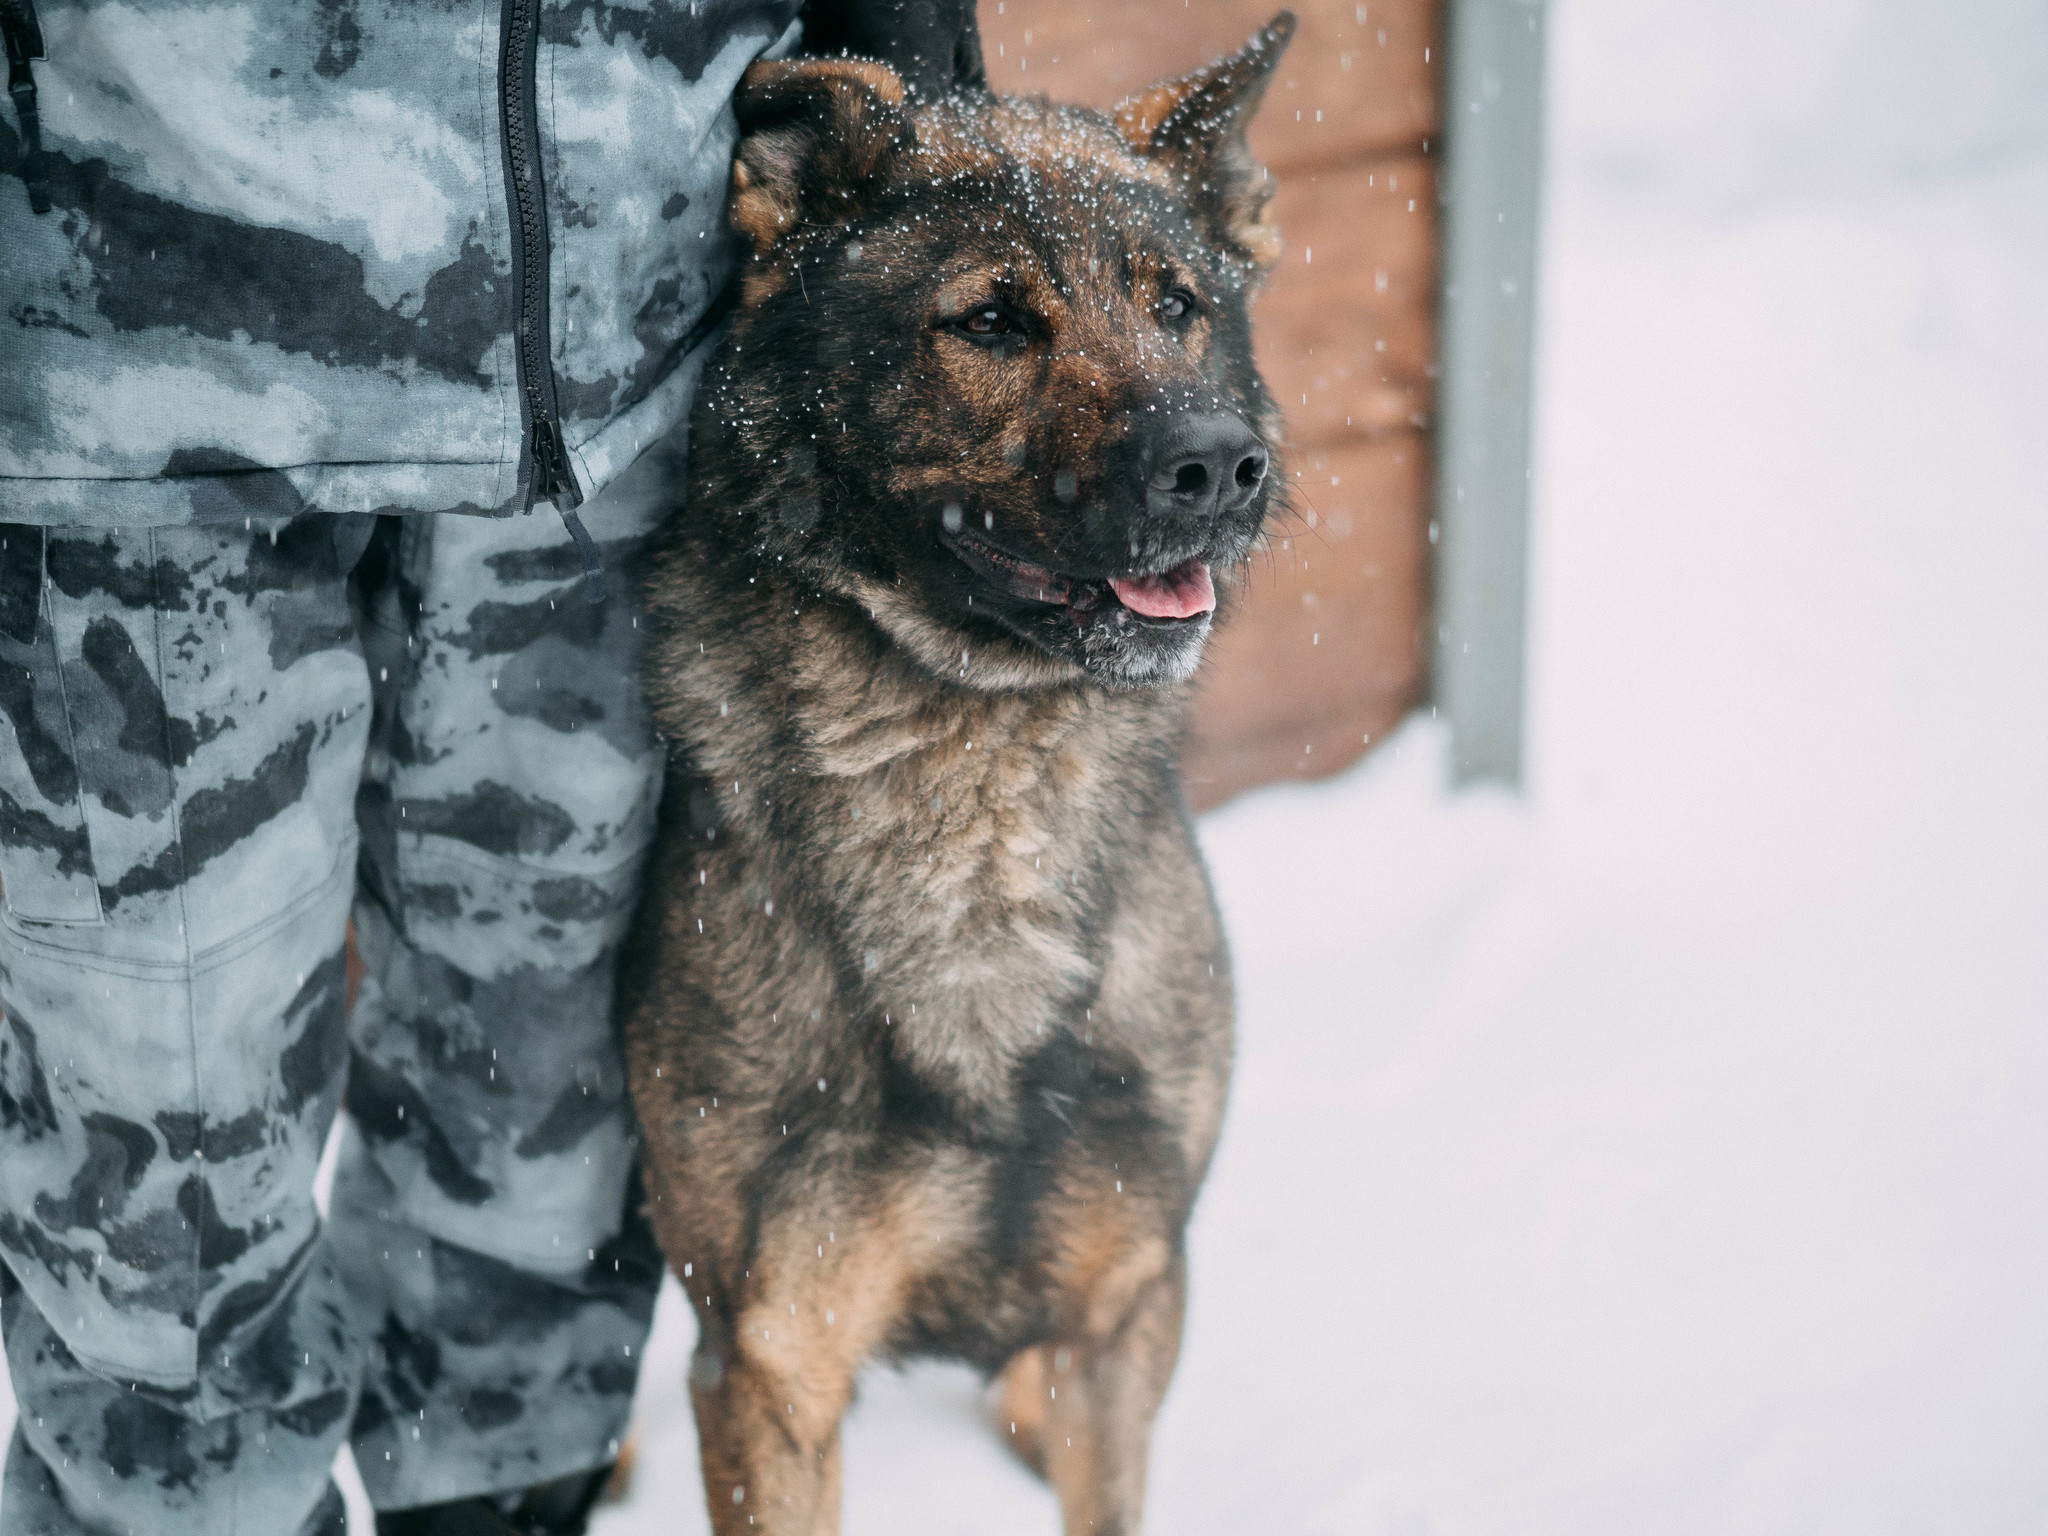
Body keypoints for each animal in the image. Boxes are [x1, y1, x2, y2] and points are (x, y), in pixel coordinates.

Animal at [626, 18, 1294, 1531]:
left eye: (1178, 307)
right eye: (991, 324)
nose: (1221, 465)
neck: (981, 775)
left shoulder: (1128, 1308)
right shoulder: (769, 1362)